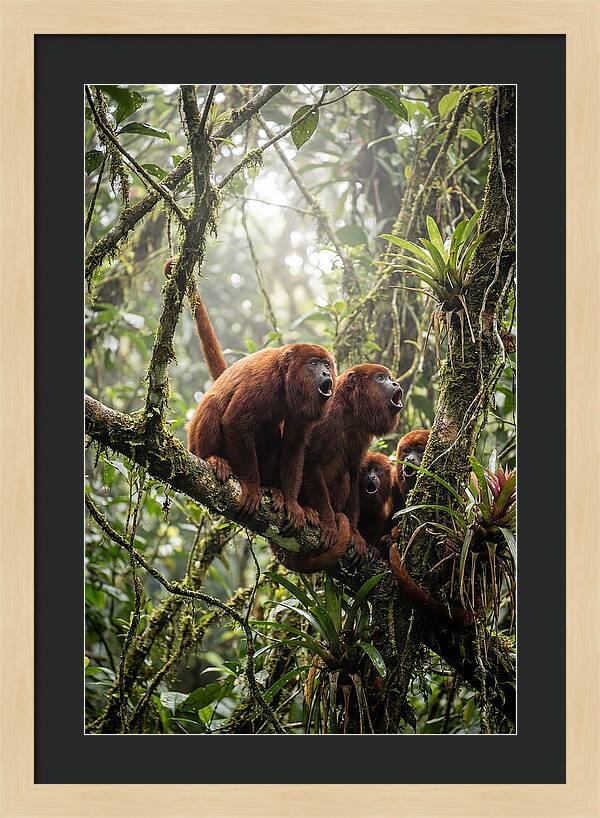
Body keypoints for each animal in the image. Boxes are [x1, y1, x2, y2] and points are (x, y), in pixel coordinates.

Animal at [165, 258, 337, 528]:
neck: (285, 381)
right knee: (214, 404)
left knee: (272, 433)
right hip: (194, 443)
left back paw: (272, 489)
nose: (327, 374)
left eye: (326, 364)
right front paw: (253, 487)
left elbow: (293, 445)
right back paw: (214, 460)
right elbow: (234, 422)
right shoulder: (262, 382)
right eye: (313, 364)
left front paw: (292, 503)